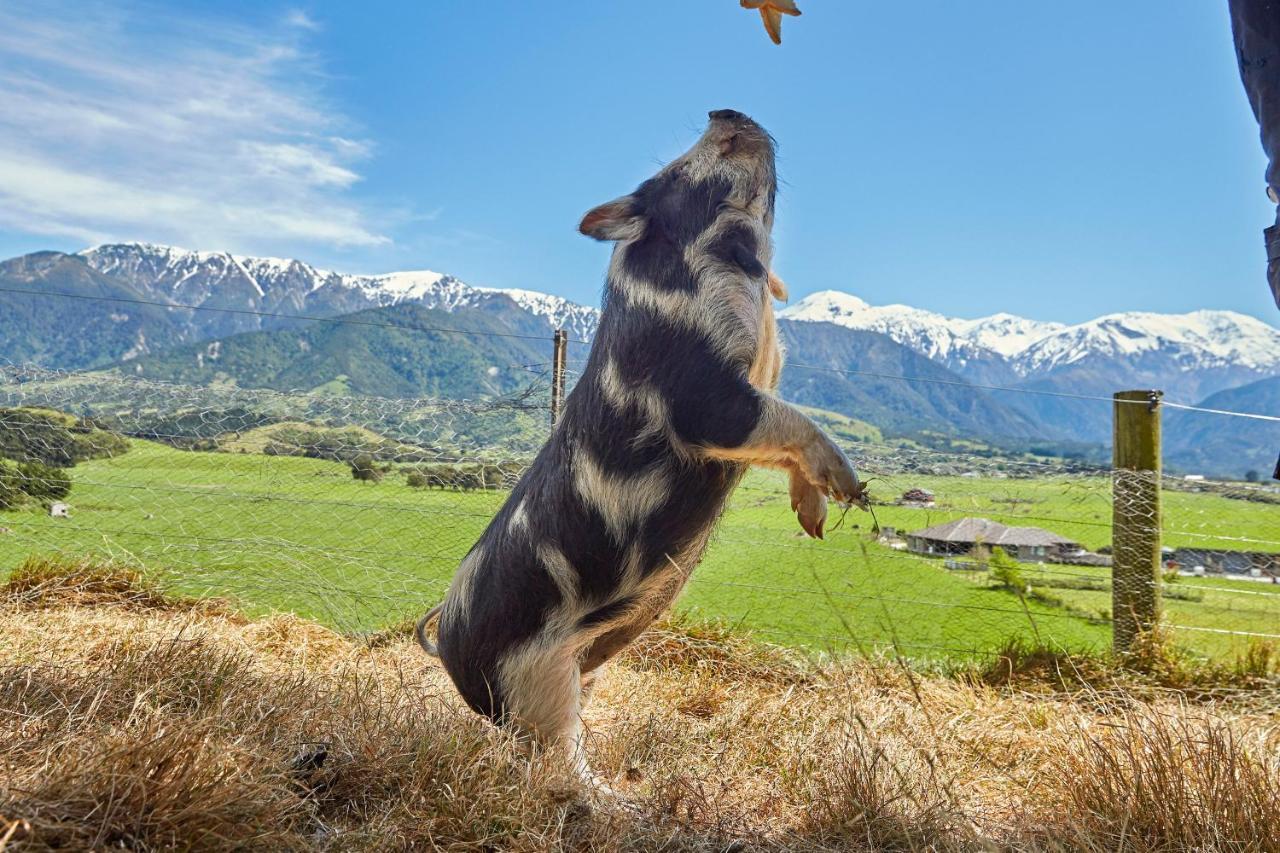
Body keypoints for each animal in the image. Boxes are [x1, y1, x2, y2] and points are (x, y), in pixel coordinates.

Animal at [419, 108, 870, 788]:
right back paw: (612, 799)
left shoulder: (767, 374)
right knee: (553, 763)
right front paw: (851, 489)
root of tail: (449, 646)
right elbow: (789, 422)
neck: (746, 276)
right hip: (534, 684)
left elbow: (785, 432)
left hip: (580, 669)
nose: (723, 112)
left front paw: (814, 522)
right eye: (678, 172)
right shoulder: (704, 397)